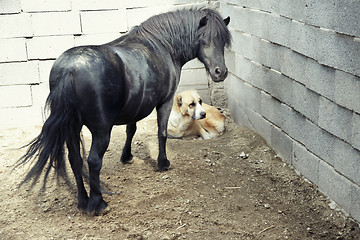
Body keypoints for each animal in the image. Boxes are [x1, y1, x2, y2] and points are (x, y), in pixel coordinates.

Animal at [17, 7, 231, 214]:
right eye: (204, 40)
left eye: (222, 41)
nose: (220, 72)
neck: (162, 46)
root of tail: (70, 70)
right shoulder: (166, 102)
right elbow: (161, 133)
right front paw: (163, 163)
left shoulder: (136, 106)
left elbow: (131, 130)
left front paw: (126, 156)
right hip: (101, 130)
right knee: (93, 161)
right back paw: (98, 204)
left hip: (72, 128)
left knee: (75, 159)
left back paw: (83, 201)